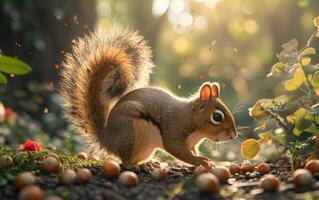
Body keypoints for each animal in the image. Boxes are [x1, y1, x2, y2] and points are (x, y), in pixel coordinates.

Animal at [59, 27, 238, 169]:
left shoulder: (191, 143)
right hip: (130, 133)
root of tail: (107, 138)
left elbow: (191, 151)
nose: (233, 136)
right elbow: (176, 149)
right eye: (217, 117)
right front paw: (199, 161)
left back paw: (148, 164)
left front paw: (202, 159)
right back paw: (133, 166)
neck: (191, 118)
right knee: (125, 160)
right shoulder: (174, 128)